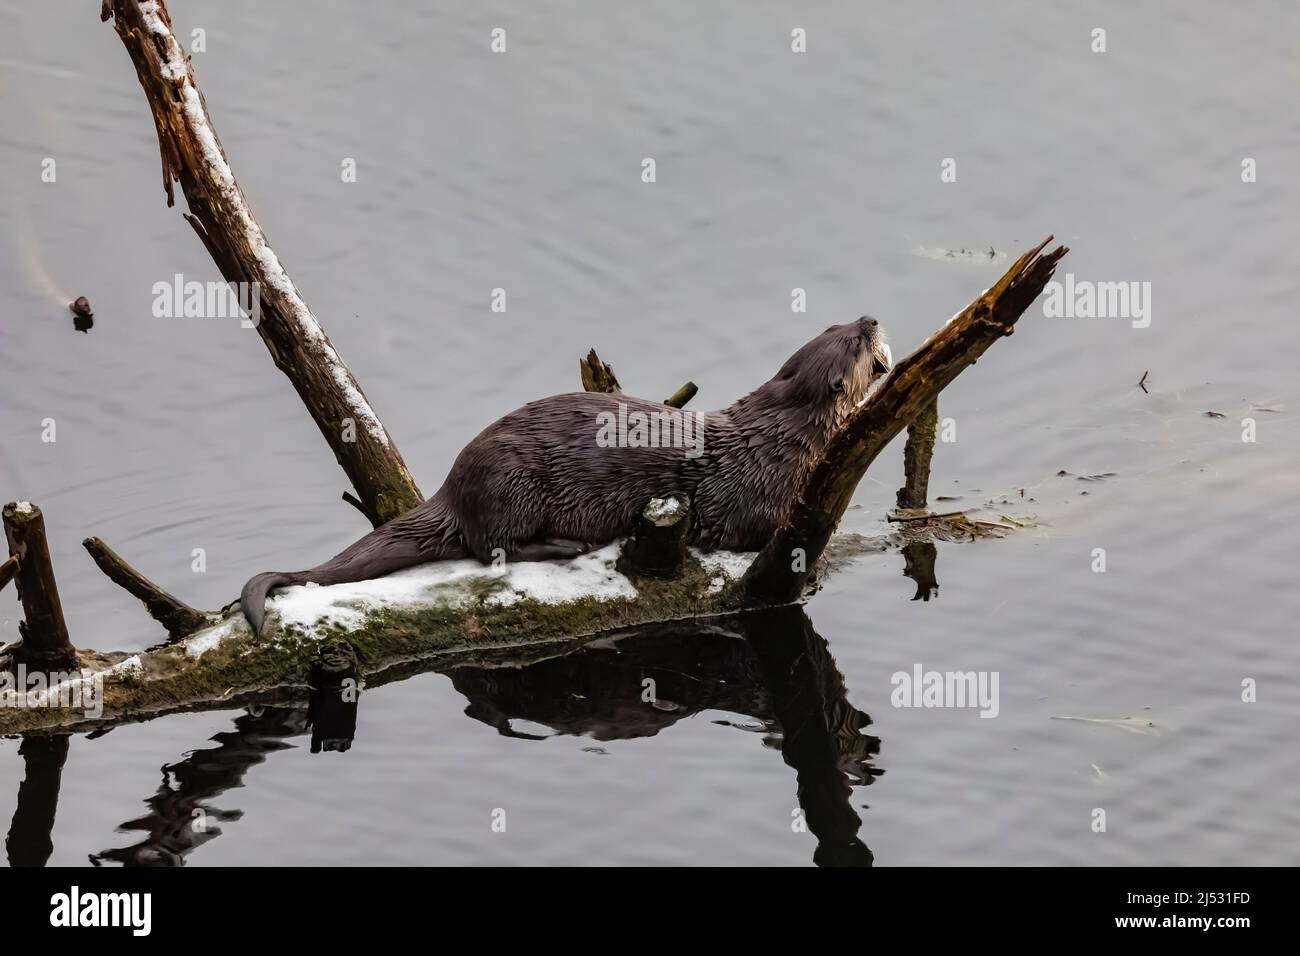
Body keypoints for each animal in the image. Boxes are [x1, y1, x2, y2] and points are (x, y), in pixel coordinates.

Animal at [241, 317, 891, 634]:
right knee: (491, 547)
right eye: (857, 341)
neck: (779, 438)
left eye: (838, 326)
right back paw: (563, 545)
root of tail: (452, 487)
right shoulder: (757, 494)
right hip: (513, 483)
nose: (870, 316)